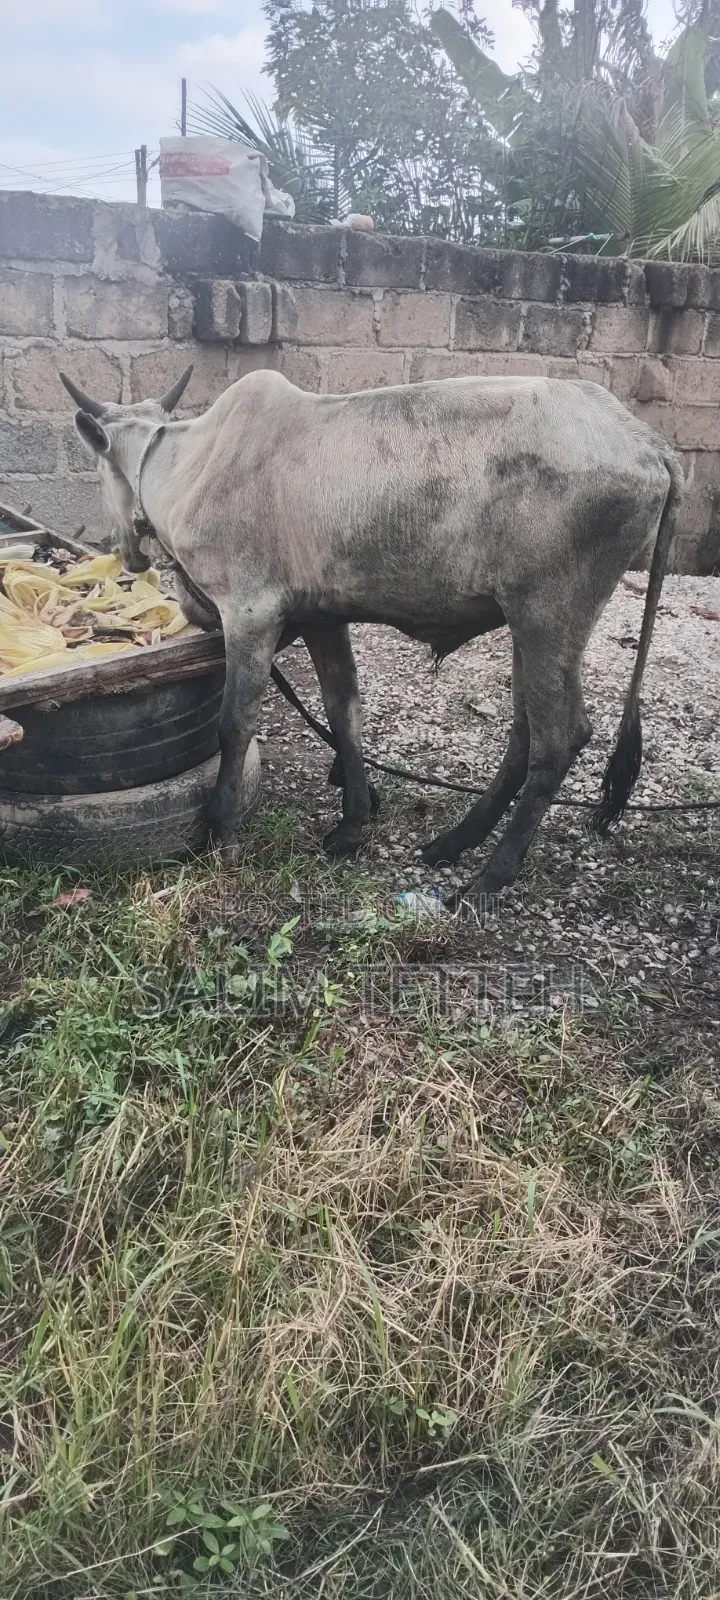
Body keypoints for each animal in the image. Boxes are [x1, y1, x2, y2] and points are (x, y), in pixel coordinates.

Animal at [59, 364, 682, 904]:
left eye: (100, 470)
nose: (126, 554)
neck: (191, 462)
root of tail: (648, 443)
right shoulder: (322, 618)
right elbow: (345, 714)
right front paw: (353, 823)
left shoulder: (250, 611)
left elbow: (235, 725)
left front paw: (222, 830)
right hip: (528, 623)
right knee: (525, 733)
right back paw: (457, 840)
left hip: (551, 613)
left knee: (559, 739)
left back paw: (490, 876)